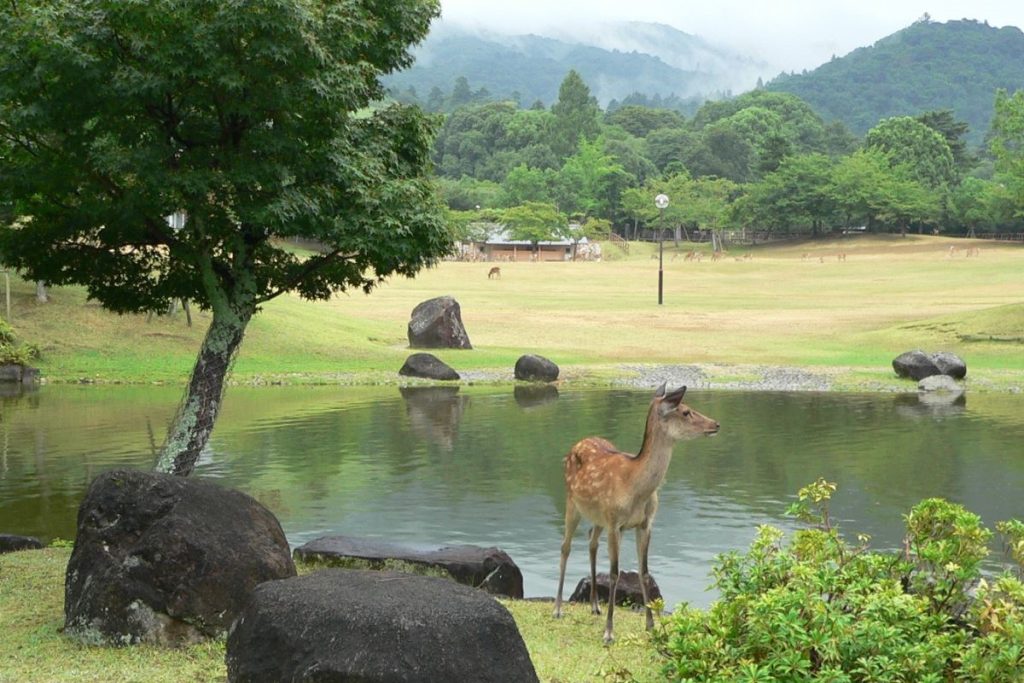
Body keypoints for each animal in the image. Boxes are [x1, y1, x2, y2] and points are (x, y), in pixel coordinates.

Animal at [552, 385, 720, 647]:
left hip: (597, 516)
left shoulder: (645, 524)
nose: (716, 424)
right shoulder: (615, 523)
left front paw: (651, 626)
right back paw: (558, 608)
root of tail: (574, 446)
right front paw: (609, 633)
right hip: (572, 501)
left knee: (591, 540)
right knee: (565, 547)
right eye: (685, 411)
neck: (636, 489)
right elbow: (614, 573)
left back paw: (594, 606)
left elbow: (645, 571)